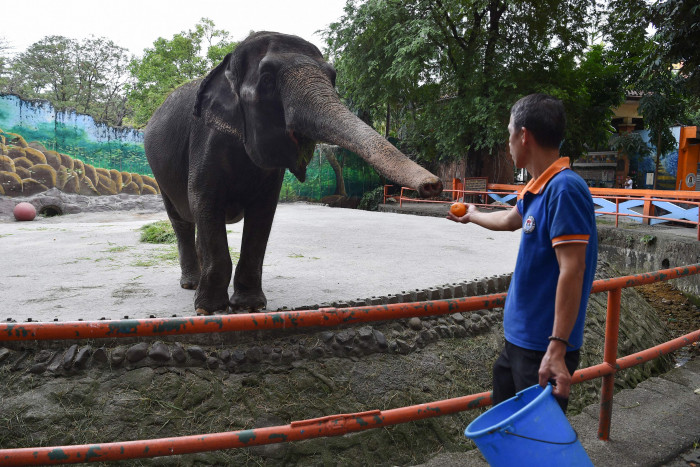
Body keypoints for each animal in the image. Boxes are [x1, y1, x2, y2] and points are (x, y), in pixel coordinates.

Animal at [146, 31, 442, 316]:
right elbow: (205, 202)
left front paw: (250, 306)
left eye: (332, 77)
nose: (433, 185)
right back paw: (190, 284)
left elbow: (263, 213)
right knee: (182, 220)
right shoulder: (206, 141)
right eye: (267, 80)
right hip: (159, 173)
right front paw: (208, 309)